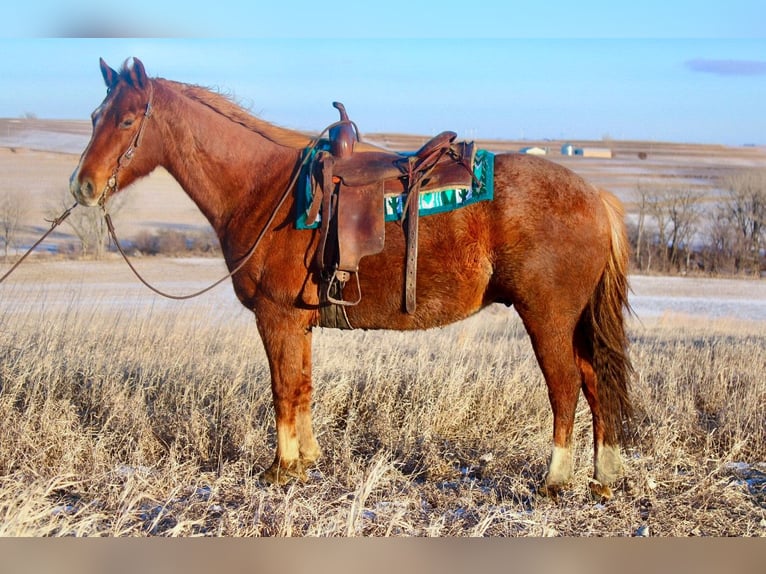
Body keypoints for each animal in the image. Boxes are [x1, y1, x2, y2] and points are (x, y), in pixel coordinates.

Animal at [70, 59, 636, 500]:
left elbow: (282, 389)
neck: (263, 188)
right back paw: (603, 477)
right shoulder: (297, 322)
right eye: (96, 115)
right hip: (574, 321)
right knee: (594, 382)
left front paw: (280, 469)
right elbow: (302, 386)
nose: (83, 186)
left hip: (547, 317)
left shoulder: (275, 318)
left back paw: (555, 479)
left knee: (565, 386)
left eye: (126, 119)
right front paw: (306, 460)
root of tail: (595, 197)